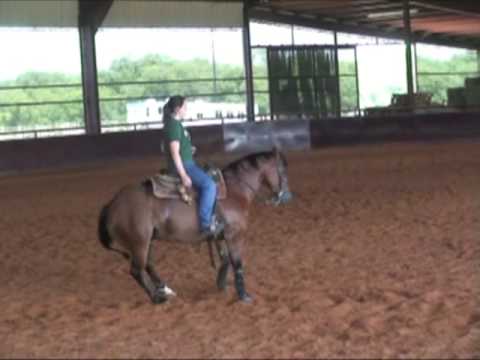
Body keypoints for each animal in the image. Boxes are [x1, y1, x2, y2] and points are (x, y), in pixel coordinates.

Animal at [97, 148, 292, 304]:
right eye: (282, 169)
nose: (286, 197)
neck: (234, 190)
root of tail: (112, 204)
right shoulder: (234, 235)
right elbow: (237, 263)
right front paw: (244, 295)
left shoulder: (220, 235)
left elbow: (225, 259)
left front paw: (221, 282)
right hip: (139, 242)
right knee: (136, 270)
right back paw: (156, 298)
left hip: (148, 240)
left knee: (148, 265)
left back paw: (165, 288)